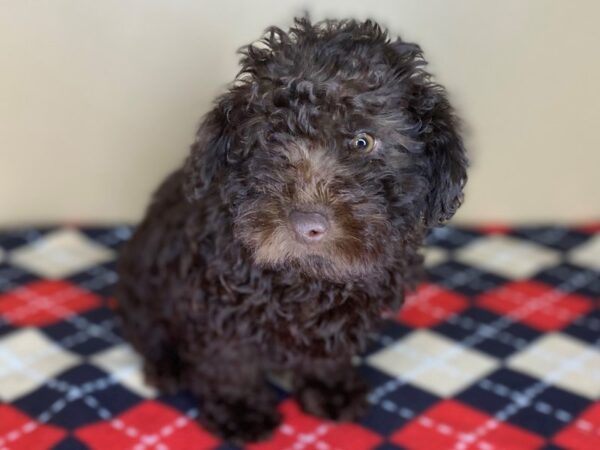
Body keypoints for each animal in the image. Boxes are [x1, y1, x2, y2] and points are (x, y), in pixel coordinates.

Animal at [115, 16, 466, 442]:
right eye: (271, 139)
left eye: (363, 142)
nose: (307, 225)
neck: (306, 278)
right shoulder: (214, 307)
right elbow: (228, 361)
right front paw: (239, 409)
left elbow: (329, 354)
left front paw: (329, 389)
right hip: (141, 290)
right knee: (148, 333)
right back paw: (170, 367)